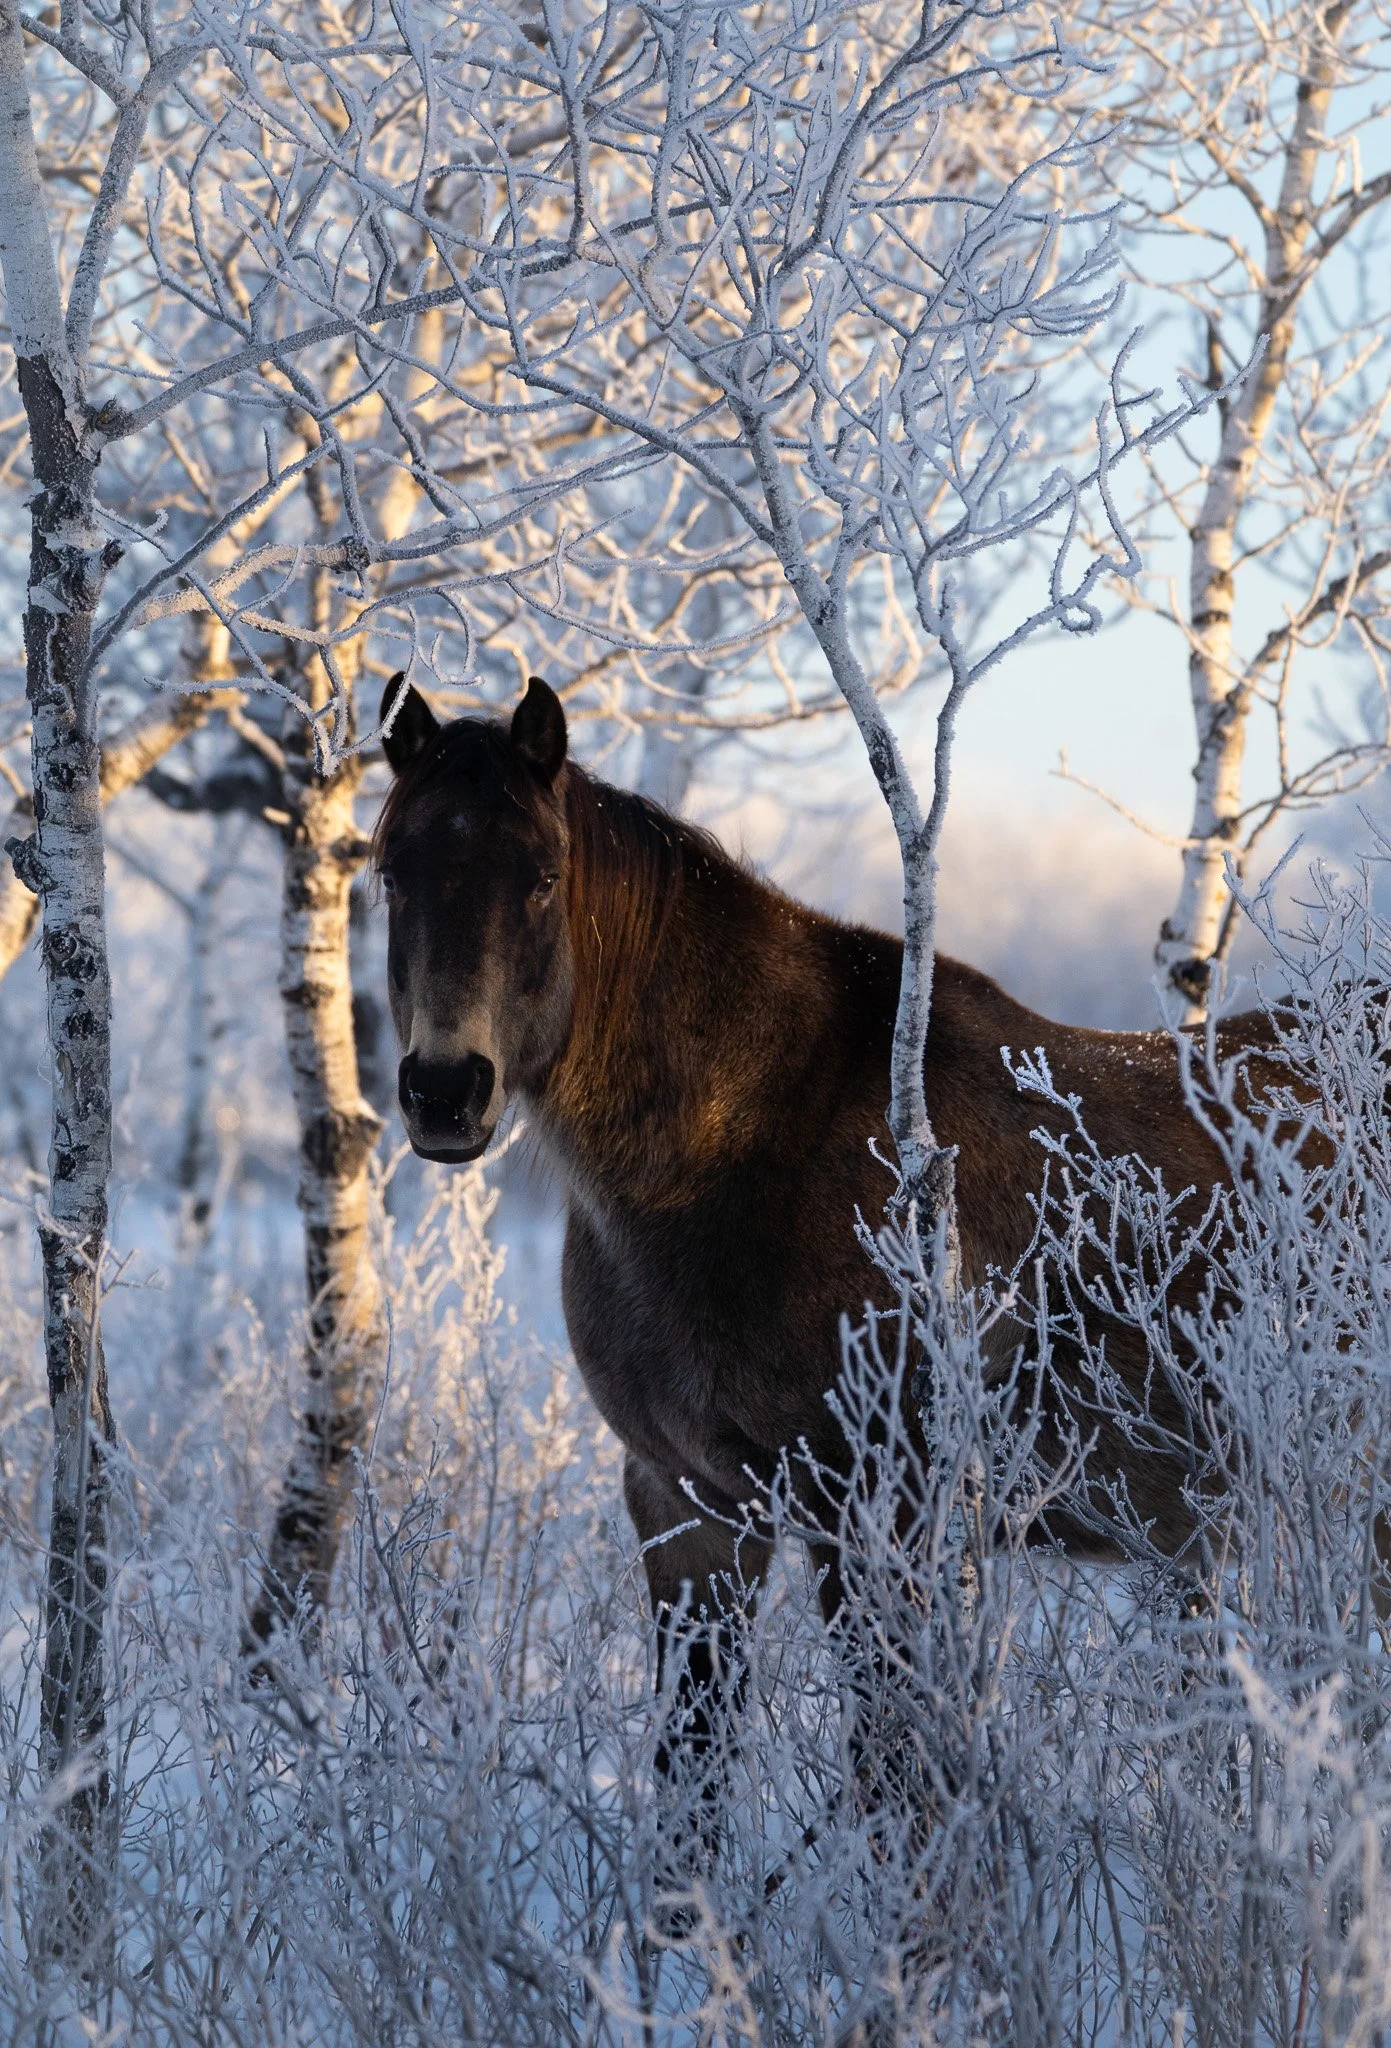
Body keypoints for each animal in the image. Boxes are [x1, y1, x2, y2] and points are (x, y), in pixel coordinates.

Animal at [374, 672, 1273, 1805]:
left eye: (540, 877)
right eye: (389, 873)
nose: (446, 1091)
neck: (745, 1145)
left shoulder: (881, 1525)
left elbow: (891, 1789)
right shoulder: (687, 1508)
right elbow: (692, 1779)